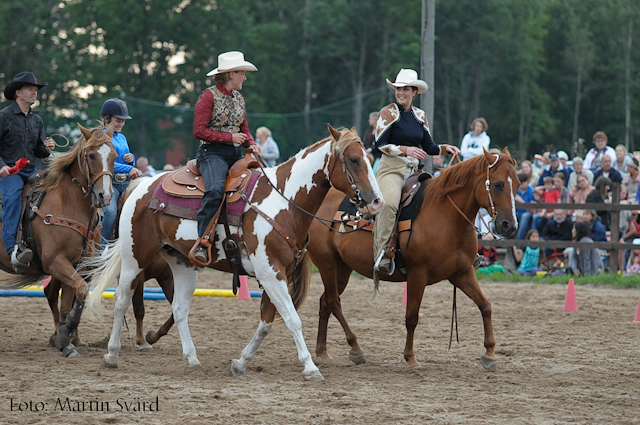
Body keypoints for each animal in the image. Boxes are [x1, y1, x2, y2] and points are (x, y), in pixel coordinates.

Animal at [0, 123, 116, 354]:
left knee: (52, 293)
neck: (67, 202)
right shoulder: (55, 261)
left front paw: (65, 338)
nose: (105, 196)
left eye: (115, 156)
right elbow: (78, 291)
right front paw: (64, 335)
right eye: (91, 155)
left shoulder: (78, 264)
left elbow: (72, 299)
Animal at [85, 124, 384, 380]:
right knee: (122, 299)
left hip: (182, 262)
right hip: (134, 257)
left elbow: (266, 322)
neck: (284, 201)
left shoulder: (277, 274)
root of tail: (142, 186)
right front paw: (310, 367)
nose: (377, 201)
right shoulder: (271, 272)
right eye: (354, 160)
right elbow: (292, 319)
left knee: (179, 308)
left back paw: (192, 360)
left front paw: (240, 363)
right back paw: (111, 355)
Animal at [306, 148, 520, 372]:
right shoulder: (418, 274)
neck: (445, 215)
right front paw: (410, 358)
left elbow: (485, 306)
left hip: (343, 268)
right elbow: (412, 317)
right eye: (498, 184)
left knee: (325, 302)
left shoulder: (462, 273)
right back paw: (355, 348)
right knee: (334, 302)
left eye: (517, 183)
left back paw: (322, 352)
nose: (509, 226)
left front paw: (490, 354)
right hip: (327, 264)